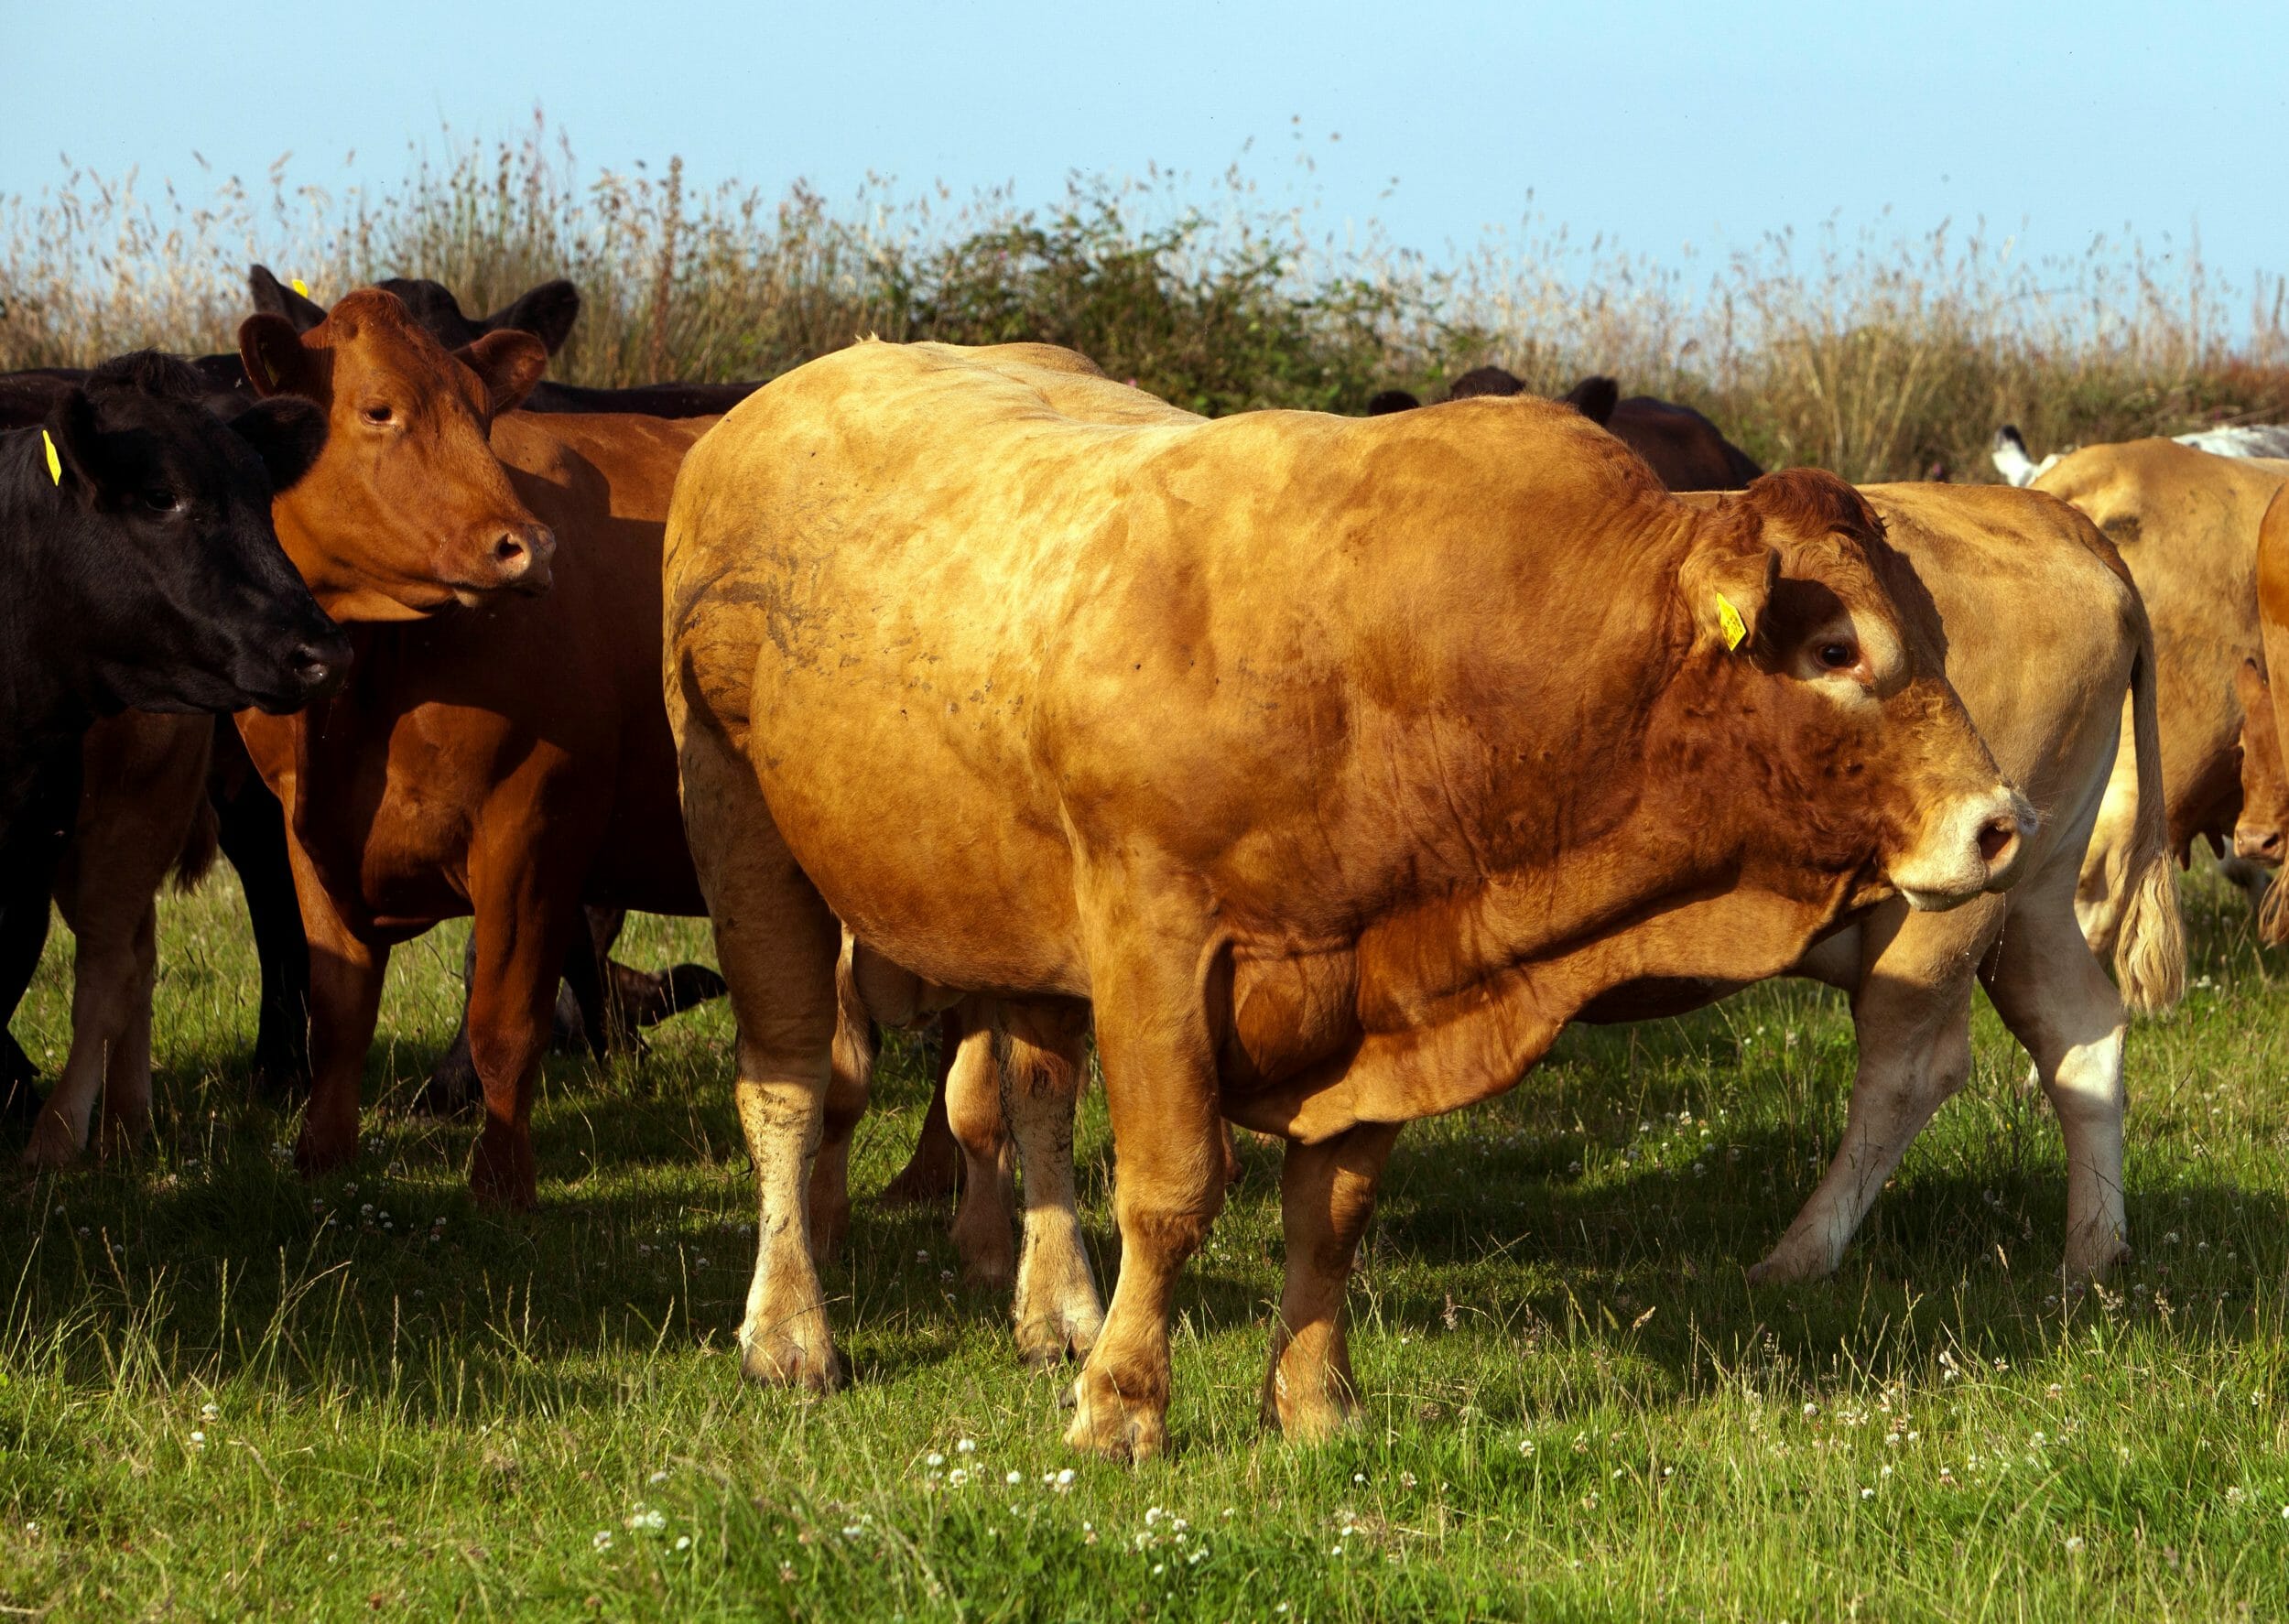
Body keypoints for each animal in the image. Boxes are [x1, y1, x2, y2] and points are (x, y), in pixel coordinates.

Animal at [231, 288, 713, 1206]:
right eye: (377, 410)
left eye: (483, 417)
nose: (528, 546)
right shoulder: (306, 834)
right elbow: (335, 1015)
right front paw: (321, 1164)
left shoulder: (534, 824)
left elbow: (503, 1023)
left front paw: (501, 1189)